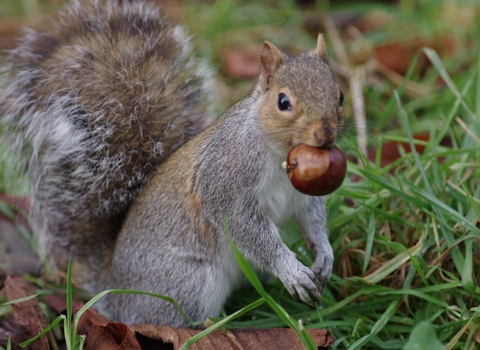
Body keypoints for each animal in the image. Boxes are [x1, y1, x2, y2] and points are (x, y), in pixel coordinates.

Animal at [0, 0, 344, 328]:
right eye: (283, 102)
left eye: (339, 95)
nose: (326, 132)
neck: (281, 155)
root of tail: (117, 292)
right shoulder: (226, 183)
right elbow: (248, 232)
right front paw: (291, 270)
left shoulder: (304, 196)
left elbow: (312, 219)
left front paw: (324, 255)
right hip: (189, 282)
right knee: (178, 320)